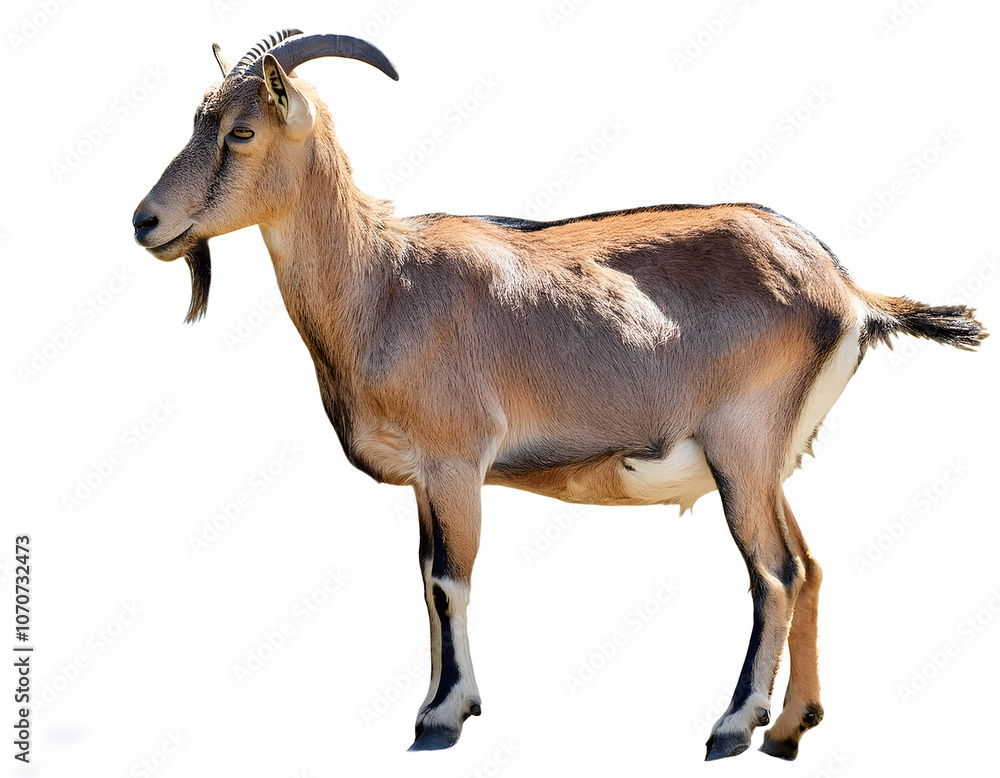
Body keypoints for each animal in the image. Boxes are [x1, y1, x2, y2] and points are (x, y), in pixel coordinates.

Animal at [133, 30, 986, 761]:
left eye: (240, 132)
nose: (146, 222)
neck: (382, 281)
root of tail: (846, 289)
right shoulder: (425, 480)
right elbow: (425, 580)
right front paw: (434, 703)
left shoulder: (457, 462)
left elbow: (449, 580)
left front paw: (444, 716)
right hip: (771, 464)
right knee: (807, 567)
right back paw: (789, 730)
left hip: (741, 452)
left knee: (773, 576)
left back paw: (733, 725)